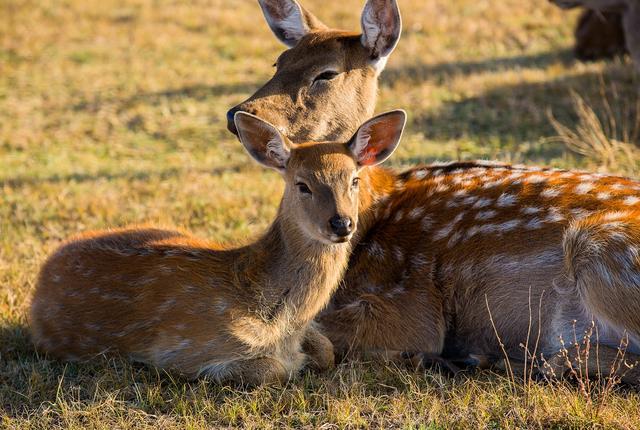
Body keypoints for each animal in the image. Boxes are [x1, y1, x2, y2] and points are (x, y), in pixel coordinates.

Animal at [29, 110, 407, 385]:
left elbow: (326, 350)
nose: (341, 224)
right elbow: (275, 369)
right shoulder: (181, 350)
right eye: (303, 185)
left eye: (354, 180)